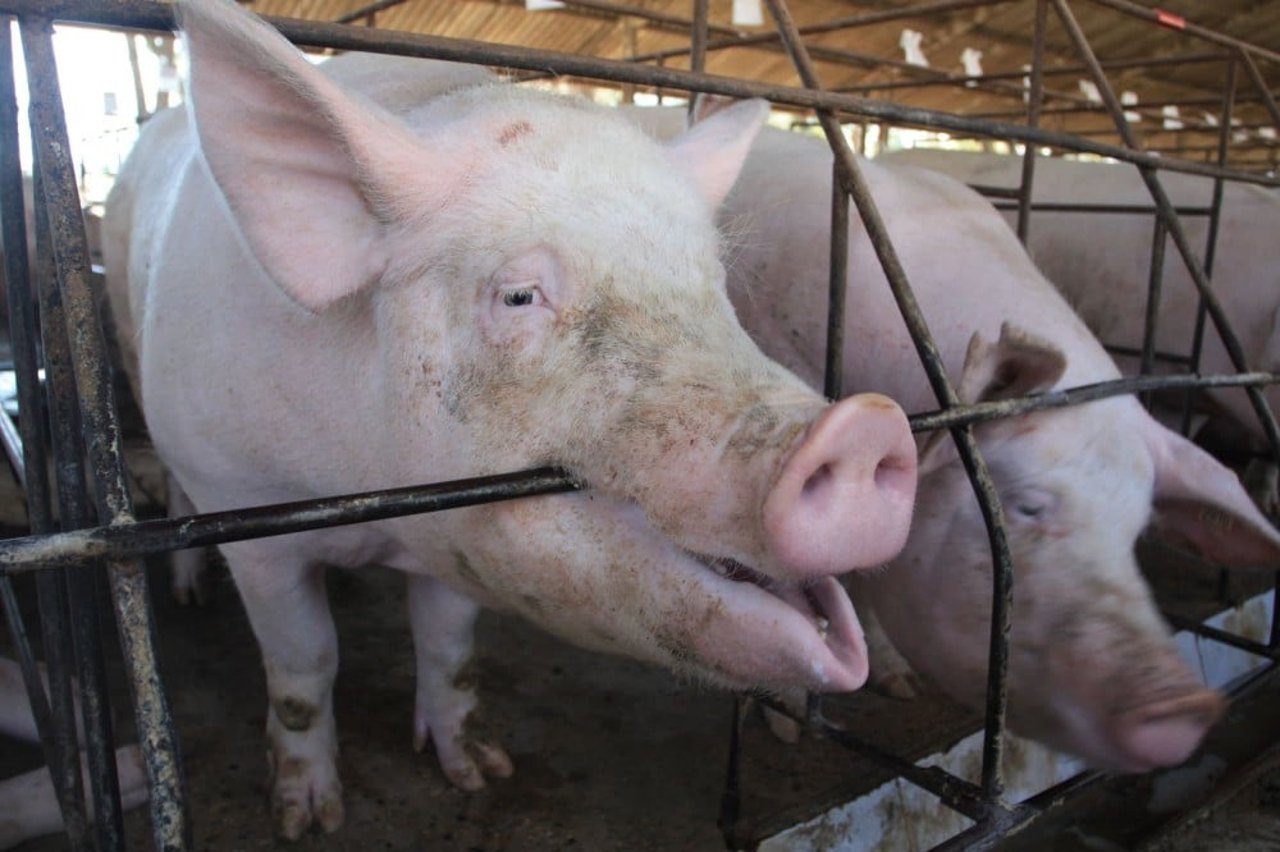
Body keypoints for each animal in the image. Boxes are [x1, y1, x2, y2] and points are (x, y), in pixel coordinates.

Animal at [99, 0, 921, 834]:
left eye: (714, 284)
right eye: (519, 294)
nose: (864, 427)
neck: (374, 506)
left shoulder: (464, 541)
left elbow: (448, 644)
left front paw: (479, 772)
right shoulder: (246, 510)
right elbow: (305, 662)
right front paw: (308, 818)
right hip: (135, 354)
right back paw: (190, 591)